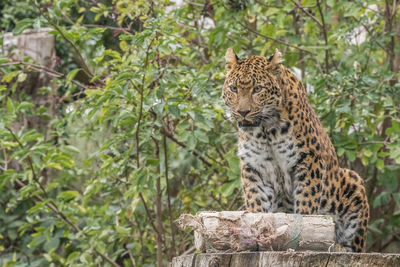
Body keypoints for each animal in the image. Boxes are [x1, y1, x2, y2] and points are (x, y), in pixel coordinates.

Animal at [222, 47, 368, 253]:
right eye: (233, 89)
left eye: (257, 89)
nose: (243, 112)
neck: (266, 129)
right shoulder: (254, 166)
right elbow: (256, 201)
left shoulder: (309, 160)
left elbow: (306, 199)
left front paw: (306, 234)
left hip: (353, 182)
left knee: (351, 244)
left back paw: (338, 248)